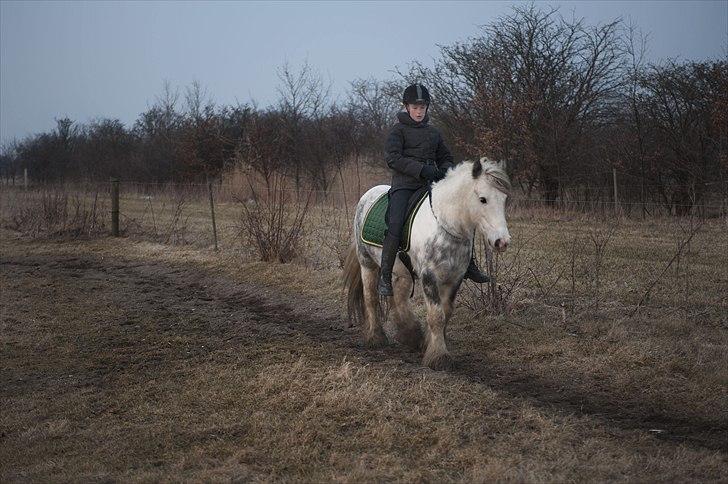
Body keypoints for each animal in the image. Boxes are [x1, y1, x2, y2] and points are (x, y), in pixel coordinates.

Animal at [342, 159, 510, 370]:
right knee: (371, 298)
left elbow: (445, 313)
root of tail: (369, 193)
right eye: (483, 199)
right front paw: (439, 357)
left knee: (399, 299)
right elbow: (436, 316)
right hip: (367, 263)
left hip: (403, 273)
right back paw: (376, 337)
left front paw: (429, 345)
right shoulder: (429, 276)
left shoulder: (454, 278)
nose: (502, 242)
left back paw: (410, 333)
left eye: (504, 199)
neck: (444, 224)